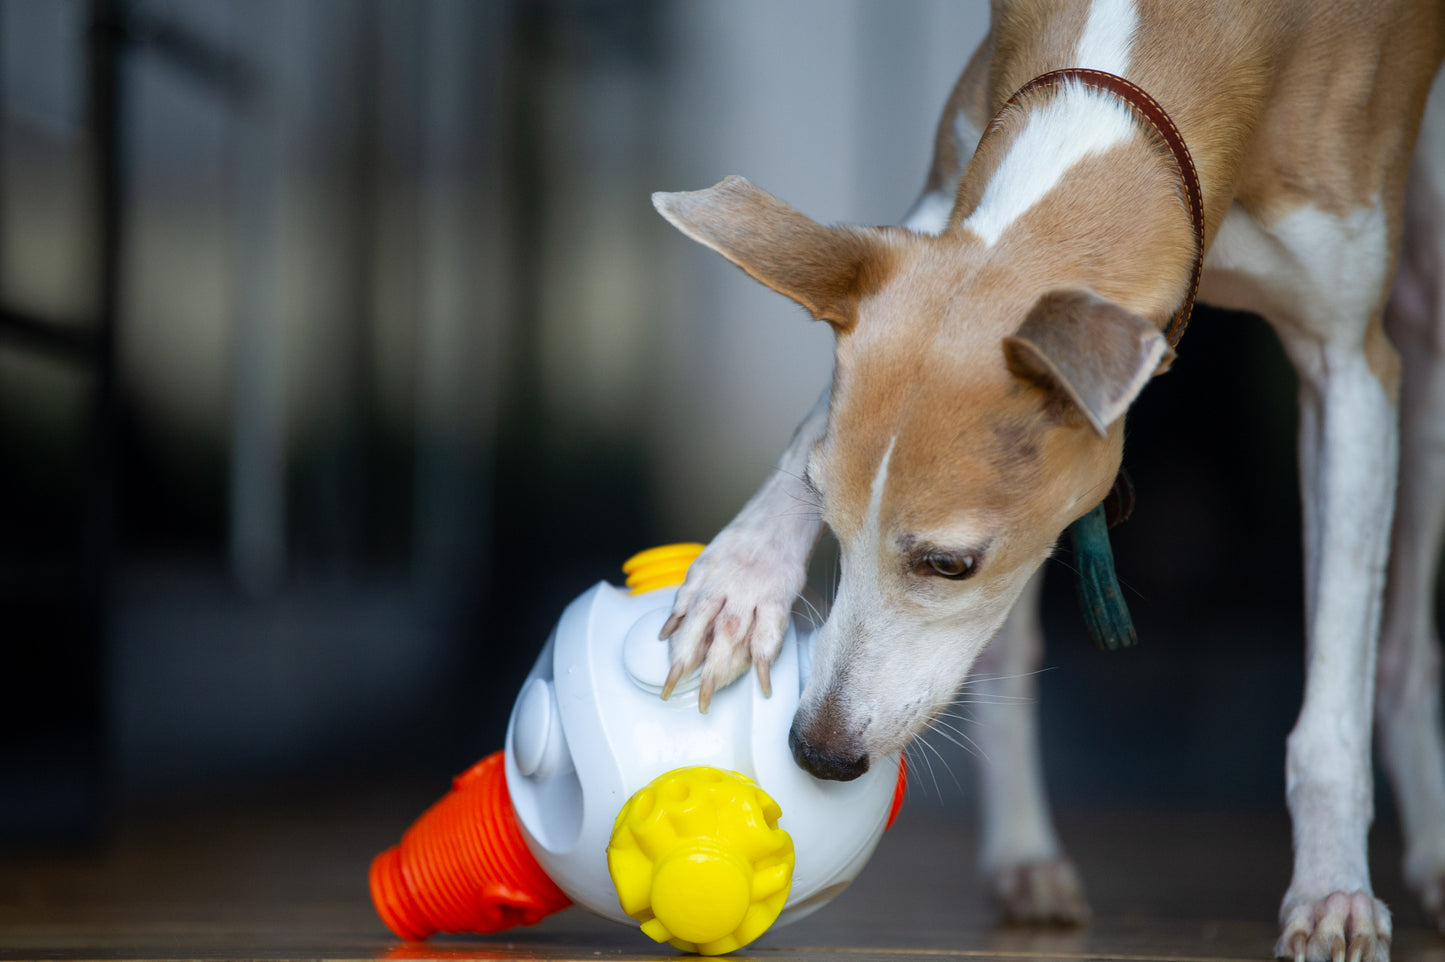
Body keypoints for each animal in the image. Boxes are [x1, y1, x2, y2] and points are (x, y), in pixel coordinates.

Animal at [653, 1, 1445, 959]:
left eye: (948, 564)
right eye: (826, 520)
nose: (819, 753)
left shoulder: (1350, 361)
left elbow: (1331, 689)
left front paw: (1331, 893)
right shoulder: (940, 197)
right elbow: (819, 418)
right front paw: (737, 587)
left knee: (1400, 641)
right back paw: (1024, 855)